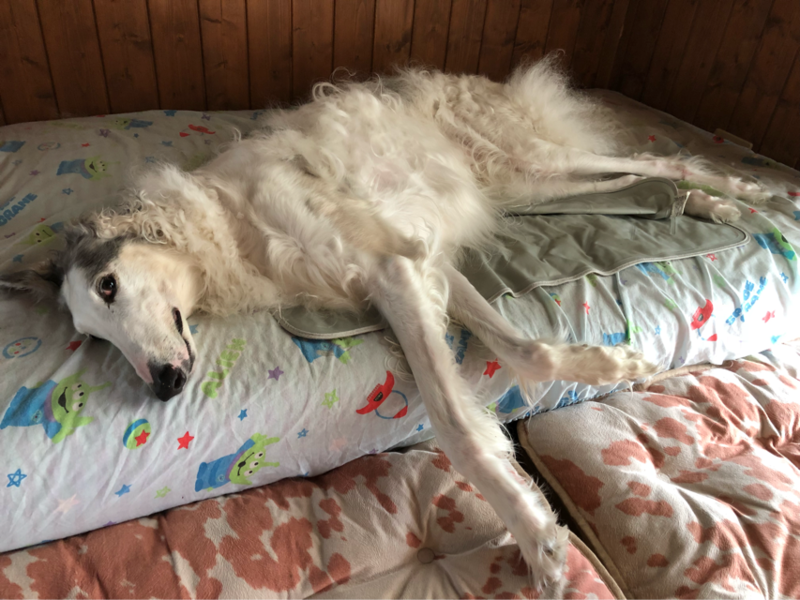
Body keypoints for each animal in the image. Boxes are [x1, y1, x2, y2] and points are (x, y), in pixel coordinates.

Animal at [0, 58, 769, 585]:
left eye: (108, 285)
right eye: (91, 336)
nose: (160, 384)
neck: (232, 224)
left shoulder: (391, 267)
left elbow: (455, 425)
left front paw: (535, 538)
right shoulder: (420, 266)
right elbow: (523, 353)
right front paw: (606, 365)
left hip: (532, 156)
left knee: (652, 155)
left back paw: (738, 187)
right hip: (522, 183)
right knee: (630, 183)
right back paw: (709, 207)